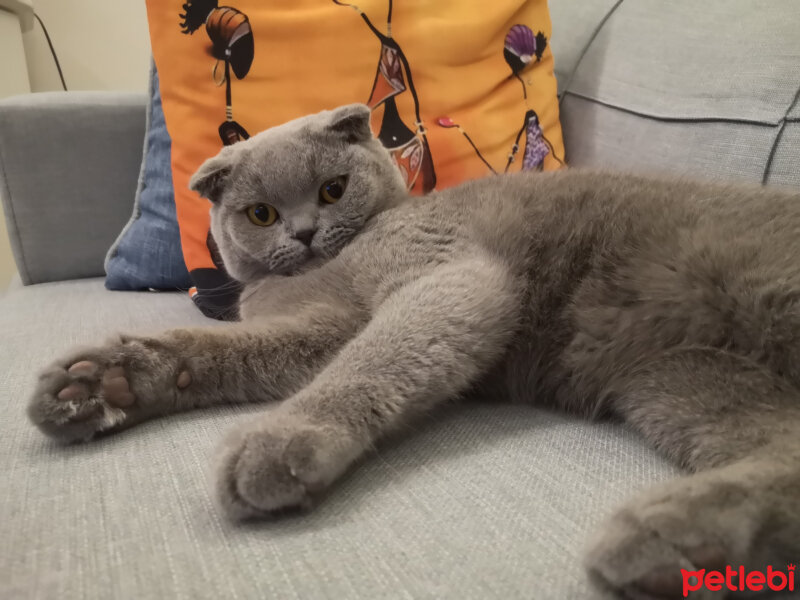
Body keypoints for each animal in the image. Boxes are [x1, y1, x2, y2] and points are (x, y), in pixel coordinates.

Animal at [28, 105, 800, 596]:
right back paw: (678, 544)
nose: (304, 233)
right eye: (261, 214)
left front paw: (280, 441)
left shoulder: (445, 274)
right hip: (682, 379)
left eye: (333, 189)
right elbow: (228, 349)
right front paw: (100, 384)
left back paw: (655, 539)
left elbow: (370, 360)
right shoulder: (312, 329)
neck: (325, 273)